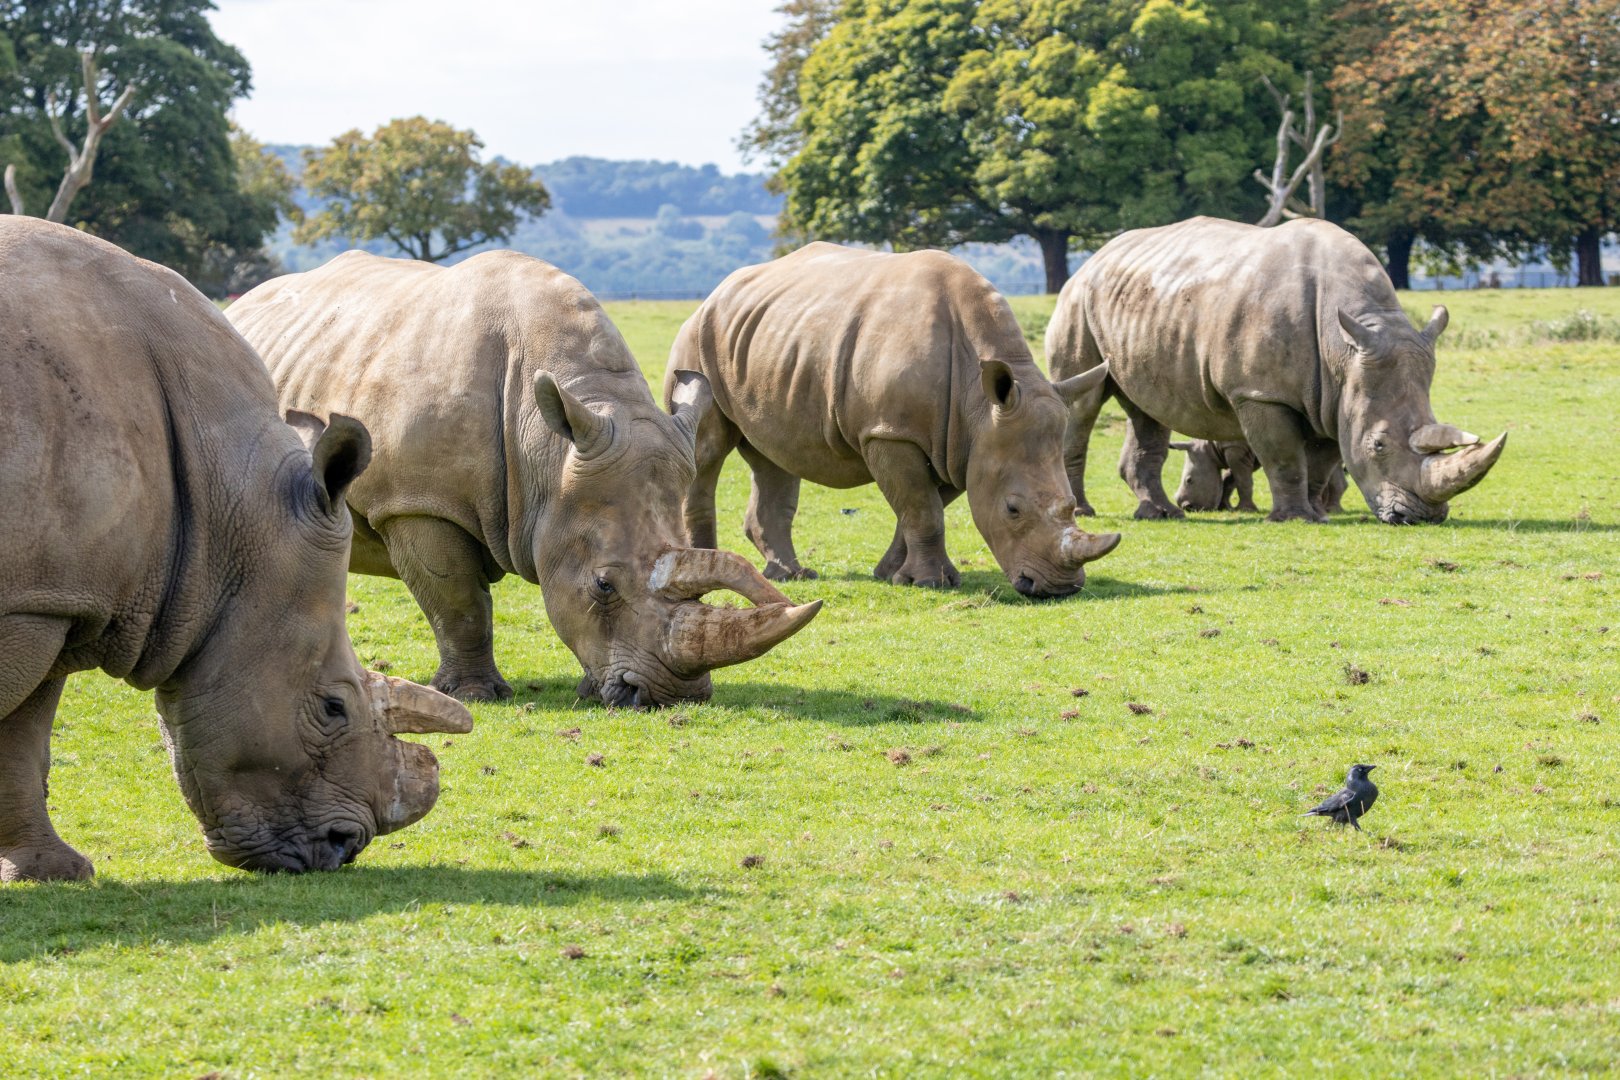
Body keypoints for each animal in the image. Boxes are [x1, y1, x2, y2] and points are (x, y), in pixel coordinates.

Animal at [0, 219, 472, 882]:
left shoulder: (54, 593)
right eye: (334, 708)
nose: (341, 848)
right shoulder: (36, 599)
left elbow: (23, 737)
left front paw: (52, 872)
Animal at [228, 251, 819, 708]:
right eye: (604, 586)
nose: (672, 697)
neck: (547, 453)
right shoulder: (418, 503)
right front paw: (475, 695)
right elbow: (459, 602)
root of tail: (243, 303)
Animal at [664, 243, 1120, 598]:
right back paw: (710, 564)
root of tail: (717, 291)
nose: (1058, 588)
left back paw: (792, 575)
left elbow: (922, 507)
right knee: (709, 450)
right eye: (1012, 509)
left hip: (770, 343)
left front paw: (895, 575)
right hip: (696, 340)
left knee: (774, 456)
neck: (979, 402)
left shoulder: (958, 445)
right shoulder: (892, 433)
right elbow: (923, 508)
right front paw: (931, 583)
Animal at [1171, 439, 1347, 514]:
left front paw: (1246, 510)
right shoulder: (1246, 450)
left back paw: (1330, 510)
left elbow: (1243, 480)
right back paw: (1329, 509)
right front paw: (1225, 507)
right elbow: (1231, 478)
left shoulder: (1236, 447)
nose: (1187, 507)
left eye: (1189, 480)